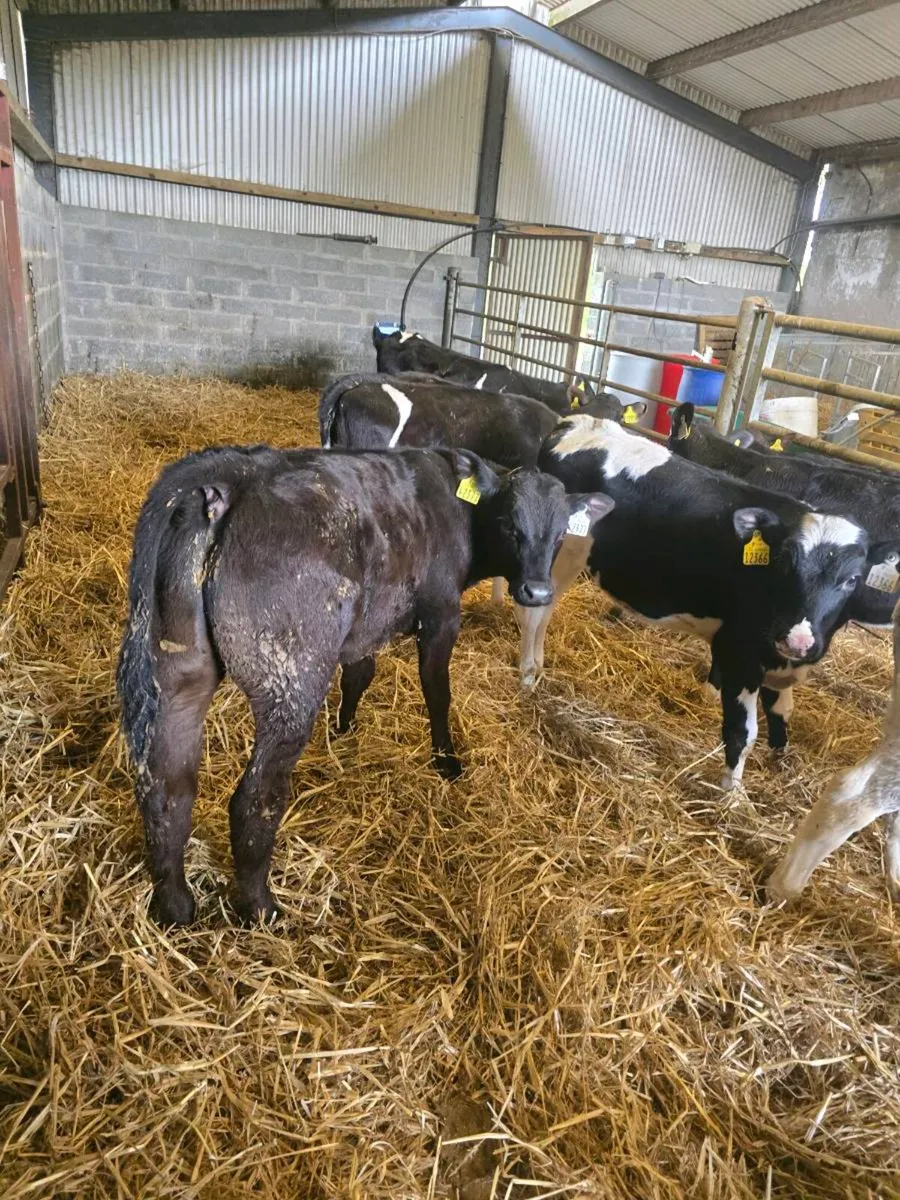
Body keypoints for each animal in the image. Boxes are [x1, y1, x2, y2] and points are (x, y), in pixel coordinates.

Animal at [118, 442, 612, 926]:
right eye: (510, 523)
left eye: (561, 533)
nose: (537, 592)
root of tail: (232, 475)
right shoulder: (440, 614)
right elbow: (437, 689)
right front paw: (447, 761)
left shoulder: (365, 626)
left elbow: (360, 673)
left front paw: (345, 729)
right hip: (291, 679)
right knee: (253, 799)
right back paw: (262, 909)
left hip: (179, 670)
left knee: (167, 789)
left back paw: (176, 908)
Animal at [513, 414, 869, 789]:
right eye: (786, 561)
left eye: (852, 579)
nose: (799, 639)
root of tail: (578, 421)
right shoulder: (738, 652)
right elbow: (742, 732)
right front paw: (732, 794)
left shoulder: (779, 659)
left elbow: (781, 711)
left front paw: (782, 762)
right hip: (558, 554)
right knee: (533, 612)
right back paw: (527, 675)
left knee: (546, 611)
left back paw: (538, 665)